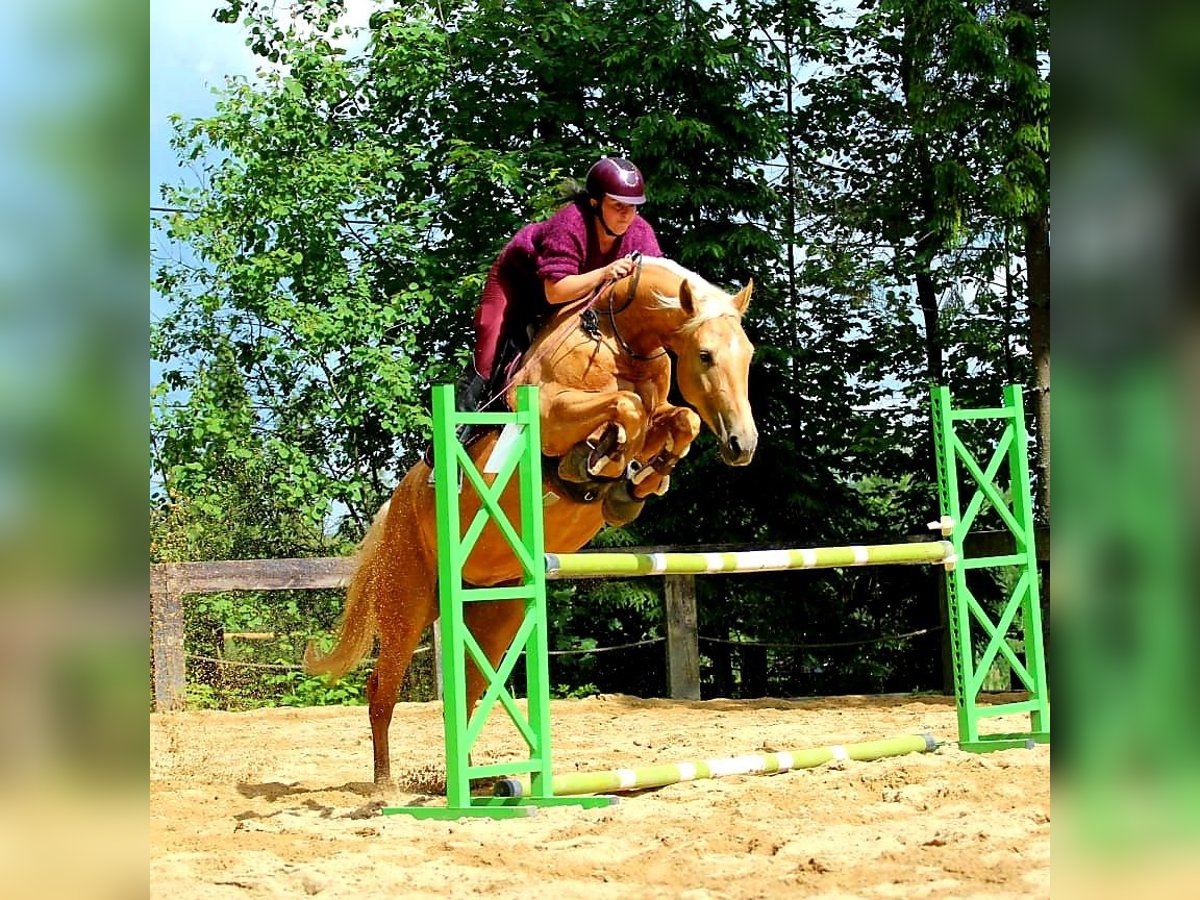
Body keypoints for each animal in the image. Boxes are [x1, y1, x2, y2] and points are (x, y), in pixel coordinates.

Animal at [307, 256, 758, 787]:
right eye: (705, 355)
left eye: (748, 356)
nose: (742, 445)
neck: (619, 339)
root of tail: (393, 509)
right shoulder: (551, 413)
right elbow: (627, 409)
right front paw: (603, 464)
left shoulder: (659, 409)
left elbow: (676, 420)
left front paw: (634, 484)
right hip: (406, 604)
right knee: (382, 688)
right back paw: (385, 786)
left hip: (496, 613)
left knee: (468, 693)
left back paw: (477, 782)